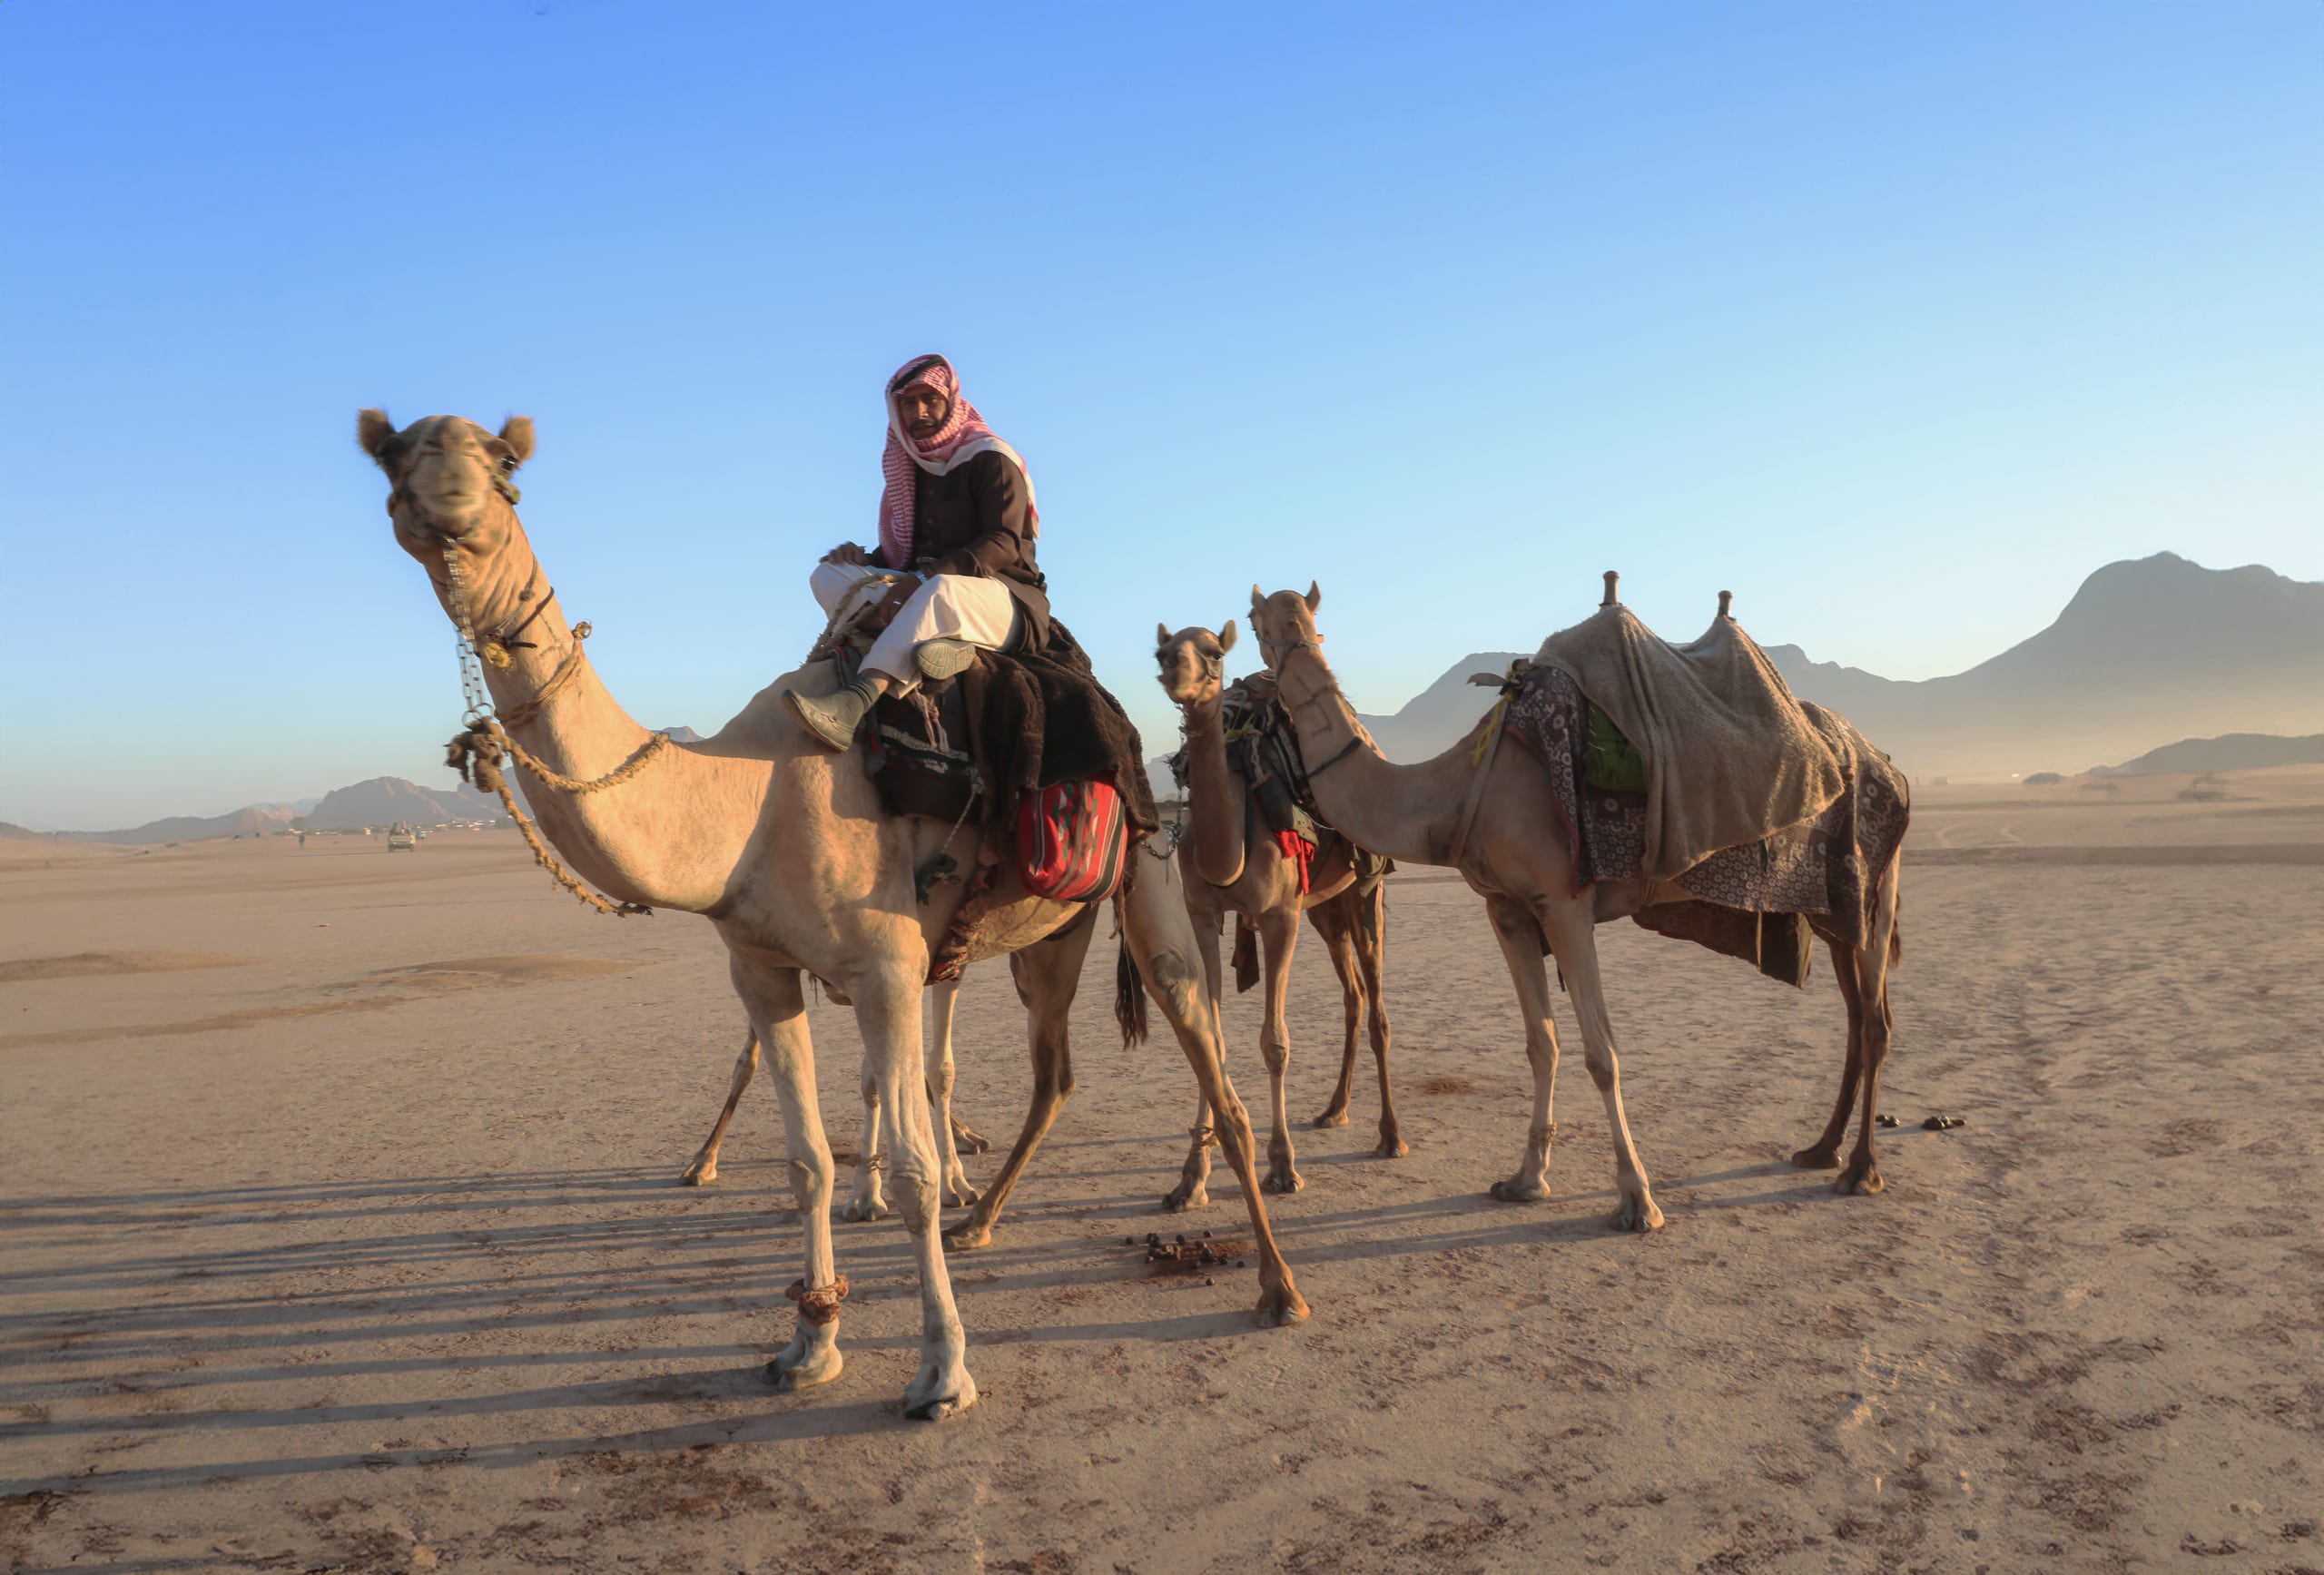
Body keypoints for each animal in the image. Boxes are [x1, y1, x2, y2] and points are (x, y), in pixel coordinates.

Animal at [356, 411, 1308, 1422]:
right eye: (392, 456)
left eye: (502, 462)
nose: (444, 491)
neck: (745, 800)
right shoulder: (763, 968)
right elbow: (807, 1159)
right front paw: (810, 1341)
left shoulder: (885, 966)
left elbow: (917, 1167)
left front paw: (942, 1370)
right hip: (1051, 935)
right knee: (1054, 1072)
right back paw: (984, 1222)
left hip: (1154, 879)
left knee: (1214, 1069)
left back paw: (1277, 1285)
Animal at [1153, 621, 1402, 1207]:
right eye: (1162, 649)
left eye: (1213, 653)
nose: (1174, 671)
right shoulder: (1202, 914)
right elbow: (1212, 1038)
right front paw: (1191, 1178)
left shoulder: (1279, 917)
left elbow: (1275, 1043)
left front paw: (1283, 1166)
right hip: (1326, 909)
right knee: (1354, 997)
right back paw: (1334, 1110)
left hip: (1366, 889)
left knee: (1377, 1007)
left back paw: (1390, 1136)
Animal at [1244, 582, 1903, 1227]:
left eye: (1262, 623)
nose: (1266, 676)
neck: (1458, 789)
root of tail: (1884, 763)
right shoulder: (1508, 909)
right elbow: (1543, 1041)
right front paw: (1526, 1179)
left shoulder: (1564, 904)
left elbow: (1601, 1051)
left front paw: (1637, 1199)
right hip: (1834, 911)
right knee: (1856, 1014)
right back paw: (1821, 1149)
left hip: (1874, 887)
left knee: (1874, 1022)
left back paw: (1861, 1170)